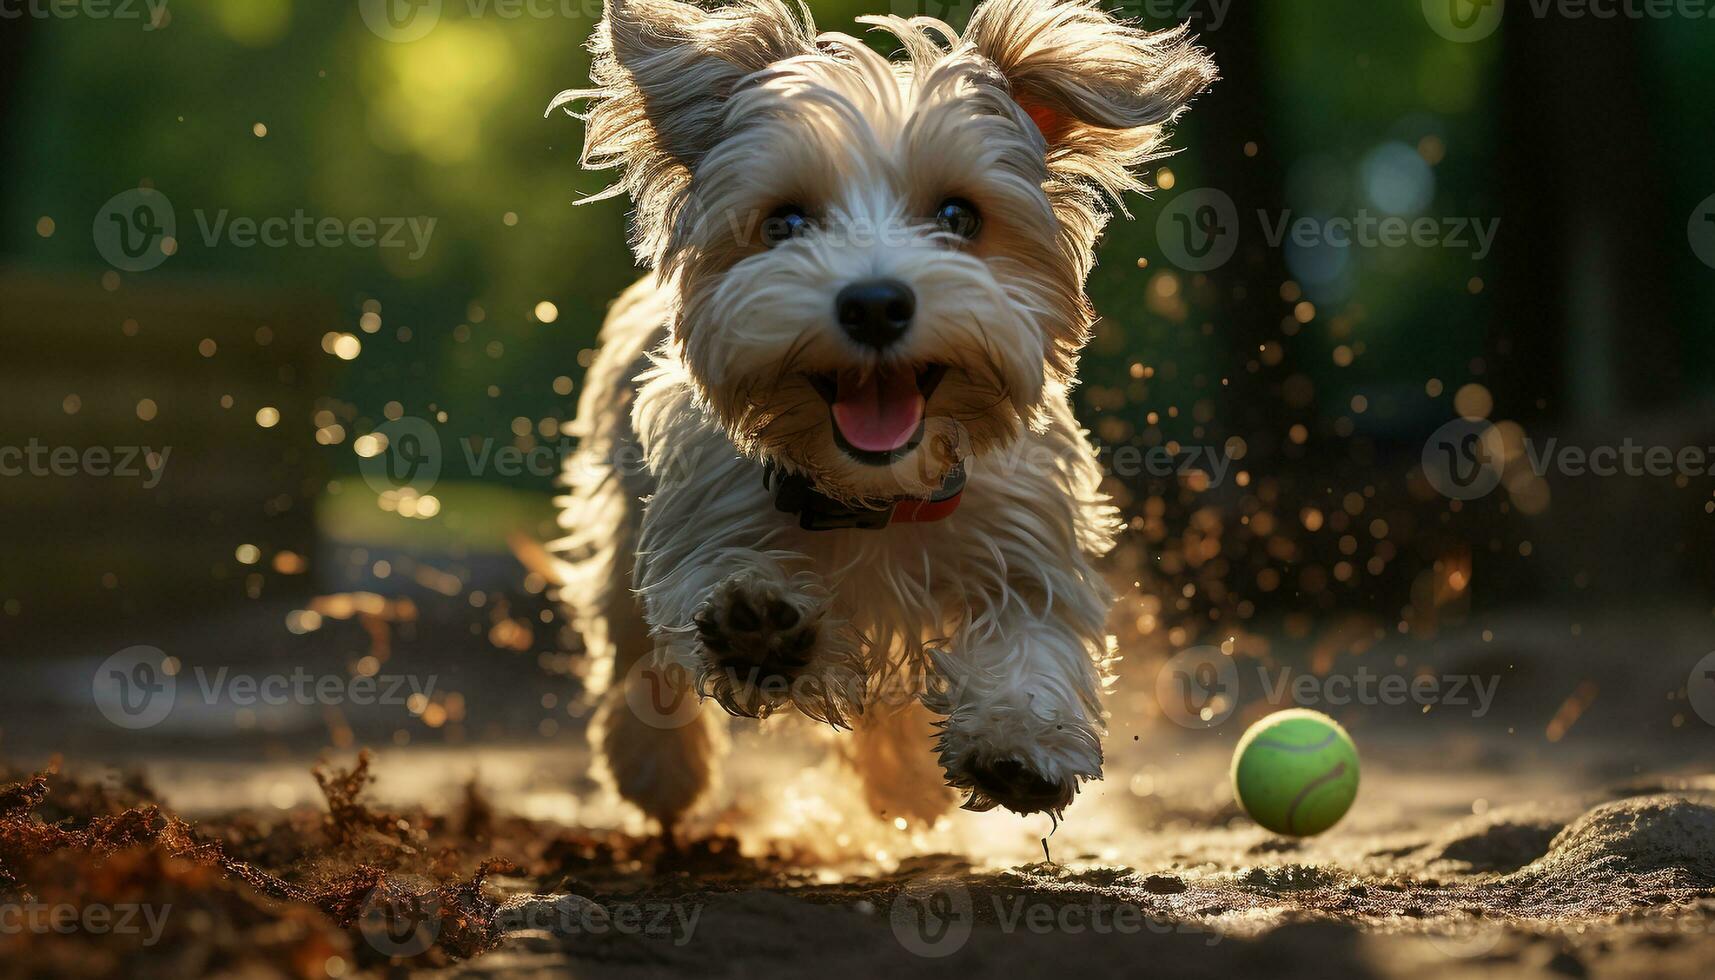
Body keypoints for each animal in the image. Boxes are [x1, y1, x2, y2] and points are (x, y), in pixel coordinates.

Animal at [548, 0, 1221, 827]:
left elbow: (1032, 632)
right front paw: (755, 626)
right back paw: (662, 765)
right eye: (785, 222)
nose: (873, 302)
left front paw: (1020, 740)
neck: (872, 496)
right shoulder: (695, 507)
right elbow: (697, 591)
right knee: (630, 647)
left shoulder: (1026, 536)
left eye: (959, 215)